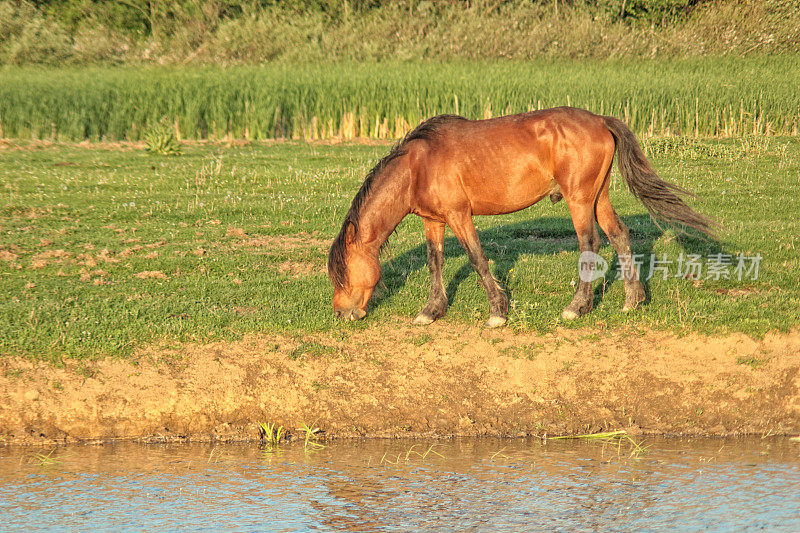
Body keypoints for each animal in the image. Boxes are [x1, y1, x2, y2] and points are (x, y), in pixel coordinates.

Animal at [328, 106, 716, 326]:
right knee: (619, 234)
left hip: (579, 199)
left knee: (590, 243)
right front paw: (432, 310)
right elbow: (434, 261)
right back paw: (632, 300)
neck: (418, 165)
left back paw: (577, 307)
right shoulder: (433, 220)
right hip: (599, 196)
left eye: (342, 274)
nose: (341, 313)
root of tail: (599, 121)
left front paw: (498, 312)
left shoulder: (459, 215)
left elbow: (477, 257)